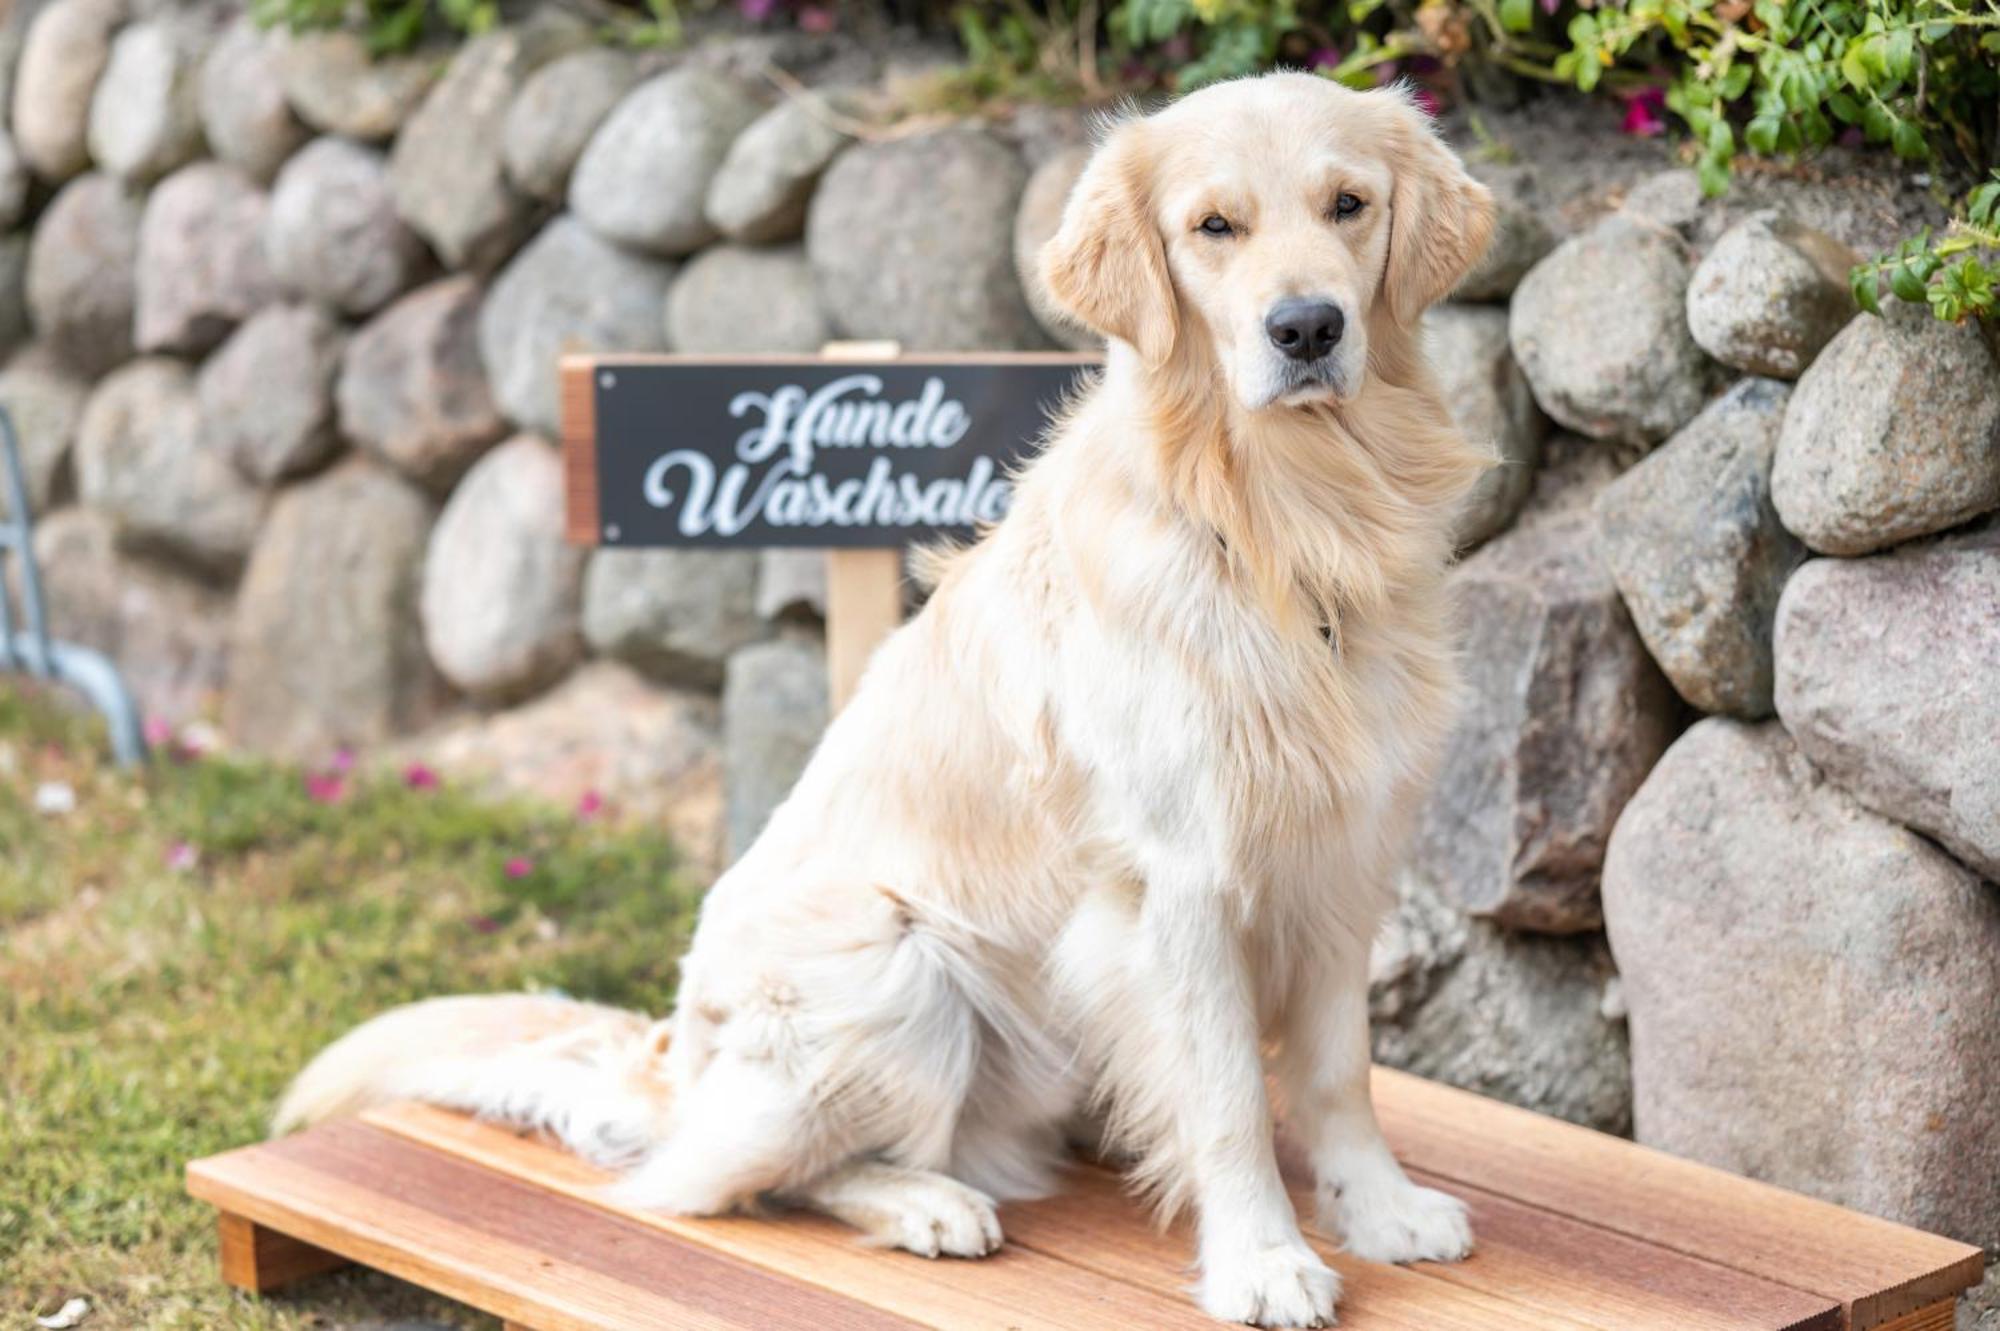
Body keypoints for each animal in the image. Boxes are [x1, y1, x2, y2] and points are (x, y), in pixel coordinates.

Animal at [286, 74, 1504, 1327]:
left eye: (1348, 204)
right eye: (1213, 227)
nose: (1306, 327)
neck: (1283, 524)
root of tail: (680, 1059)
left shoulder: (1342, 856)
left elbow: (1335, 1069)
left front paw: (1380, 1207)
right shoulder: (1179, 880)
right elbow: (1223, 1097)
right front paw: (1261, 1258)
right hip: (895, 961)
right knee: (736, 1178)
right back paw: (925, 1201)